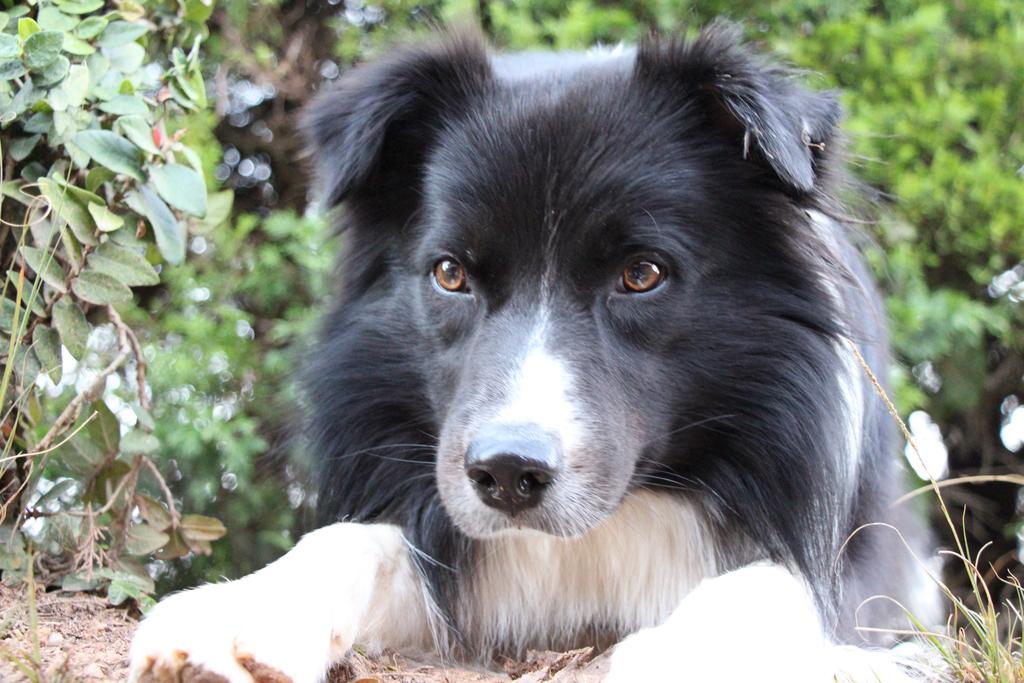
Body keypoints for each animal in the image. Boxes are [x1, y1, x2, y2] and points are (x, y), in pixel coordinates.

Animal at [132, 24, 937, 679]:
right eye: (450, 273)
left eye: (642, 273)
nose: (507, 475)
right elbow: (357, 540)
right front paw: (231, 617)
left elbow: (779, 581)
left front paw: (674, 656)